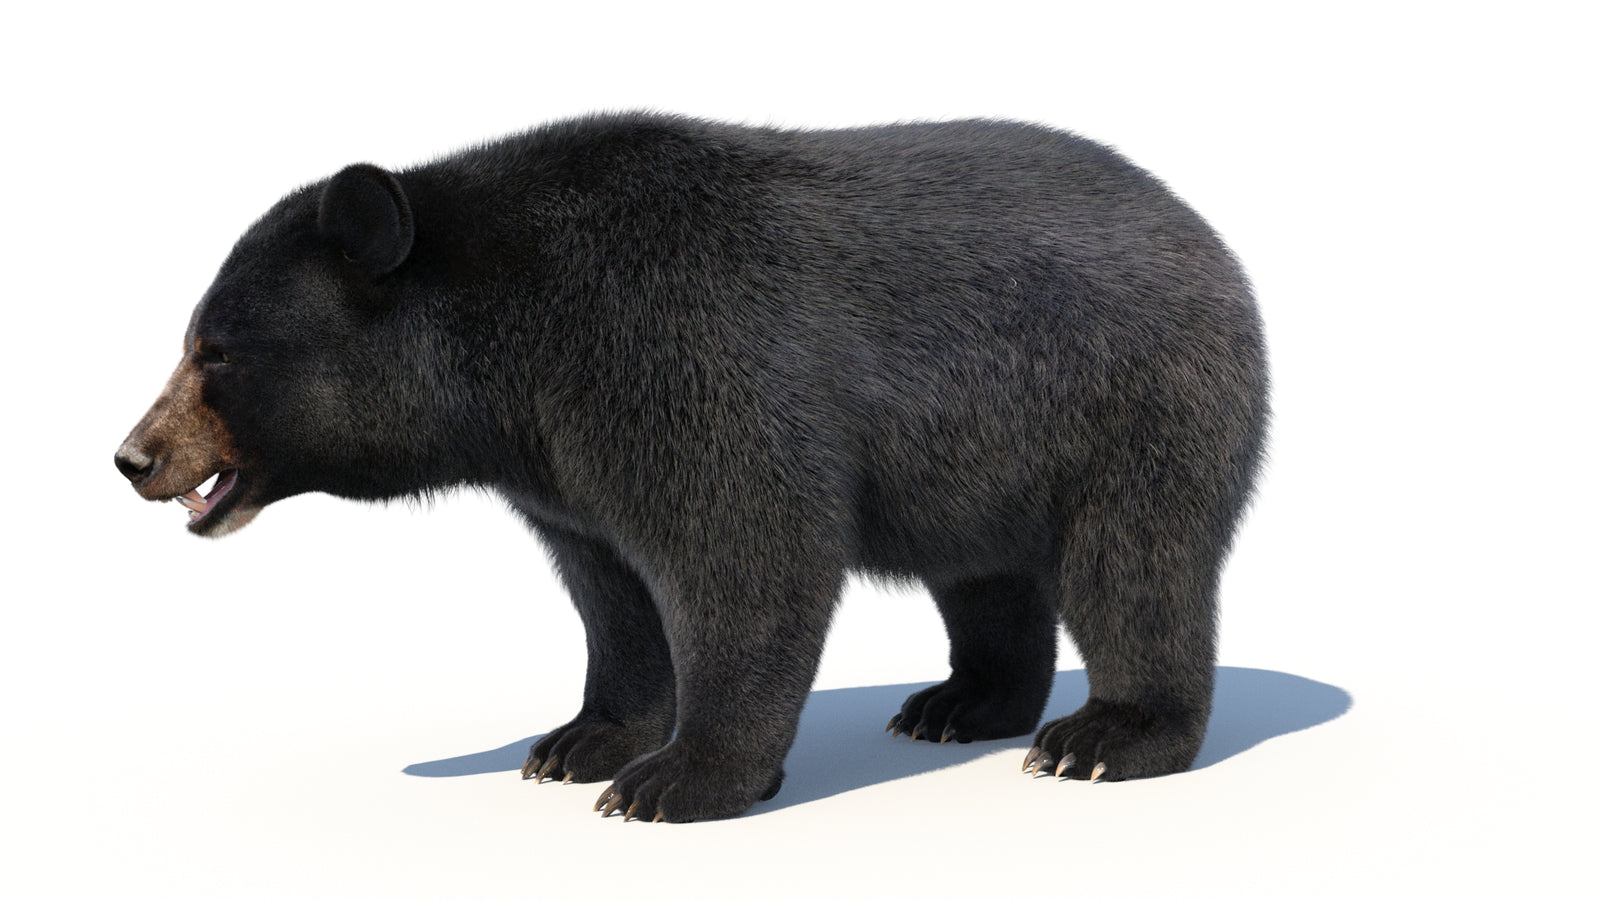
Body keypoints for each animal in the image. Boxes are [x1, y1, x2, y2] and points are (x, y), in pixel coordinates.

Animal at [115, 113, 1269, 823]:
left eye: (217, 351)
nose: (134, 456)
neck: (509, 354)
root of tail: (1207, 236)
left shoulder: (677, 352)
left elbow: (747, 552)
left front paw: (679, 779)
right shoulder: (561, 462)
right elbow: (610, 591)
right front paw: (579, 741)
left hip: (1134, 397)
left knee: (1137, 566)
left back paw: (1106, 735)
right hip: (983, 452)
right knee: (986, 575)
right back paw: (962, 705)